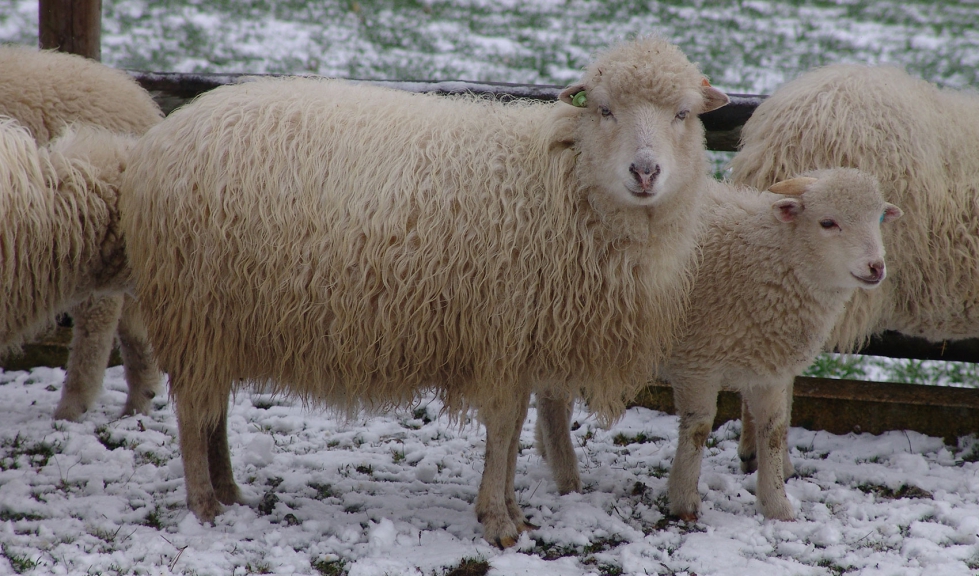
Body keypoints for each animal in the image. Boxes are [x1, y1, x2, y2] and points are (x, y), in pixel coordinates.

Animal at [119, 36, 730, 546]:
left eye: (682, 114)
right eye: (604, 109)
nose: (645, 172)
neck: (558, 180)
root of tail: (162, 135)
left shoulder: (519, 344)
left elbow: (512, 434)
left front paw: (514, 512)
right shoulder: (501, 335)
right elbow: (502, 429)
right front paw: (498, 522)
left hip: (219, 319)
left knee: (212, 408)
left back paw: (229, 491)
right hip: (194, 307)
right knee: (192, 412)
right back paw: (204, 504)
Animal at [537, 169, 901, 520]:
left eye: (879, 219)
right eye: (828, 222)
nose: (876, 267)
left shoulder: (769, 367)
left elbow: (773, 430)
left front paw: (777, 506)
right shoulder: (697, 361)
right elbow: (699, 427)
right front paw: (684, 500)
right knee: (553, 399)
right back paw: (566, 474)